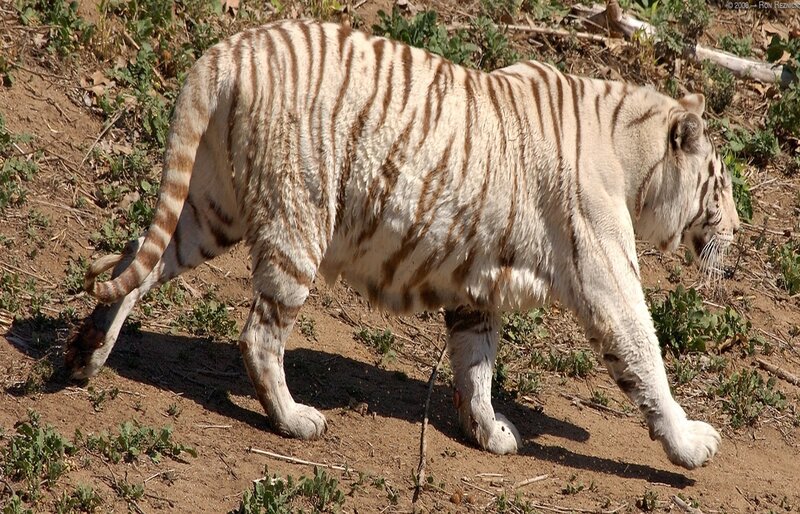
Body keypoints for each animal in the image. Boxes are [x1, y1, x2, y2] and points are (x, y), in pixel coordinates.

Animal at [66, 19, 738, 470]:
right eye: (724, 184)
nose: (736, 231)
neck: (632, 155)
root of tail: (228, 51)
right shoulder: (608, 277)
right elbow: (646, 357)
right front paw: (690, 444)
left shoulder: (477, 286)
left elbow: (476, 366)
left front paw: (488, 432)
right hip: (298, 218)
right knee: (259, 334)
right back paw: (294, 420)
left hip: (210, 209)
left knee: (136, 257)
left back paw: (86, 352)